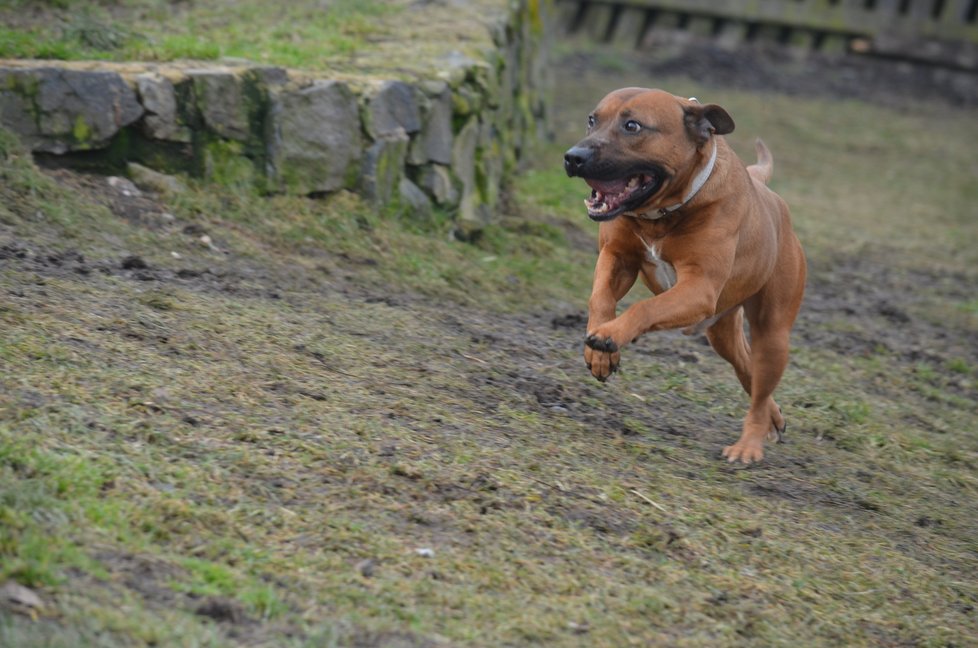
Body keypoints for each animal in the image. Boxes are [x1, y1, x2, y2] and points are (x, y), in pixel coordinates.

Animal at [560, 88, 804, 464]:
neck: (662, 214)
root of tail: (768, 193)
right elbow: (599, 297)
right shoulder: (617, 257)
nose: (574, 157)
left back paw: (748, 446)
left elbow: (645, 307)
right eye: (592, 119)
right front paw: (600, 352)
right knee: (749, 370)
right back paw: (772, 419)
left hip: (773, 333)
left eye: (632, 126)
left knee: (760, 385)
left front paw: (611, 335)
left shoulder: (698, 288)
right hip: (722, 332)